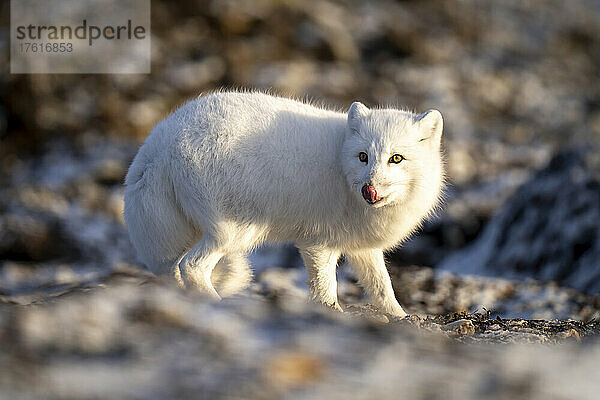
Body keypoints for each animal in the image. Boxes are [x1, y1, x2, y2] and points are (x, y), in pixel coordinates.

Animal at [124, 92, 442, 318]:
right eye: (363, 156)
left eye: (396, 158)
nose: (369, 189)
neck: (338, 162)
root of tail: (160, 141)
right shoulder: (317, 243)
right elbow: (326, 289)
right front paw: (333, 313)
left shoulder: (360, 247)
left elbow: (381, 287)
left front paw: (401, 317)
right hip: (233, 232)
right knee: (191, 266)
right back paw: (216, 303)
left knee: (173, 271)